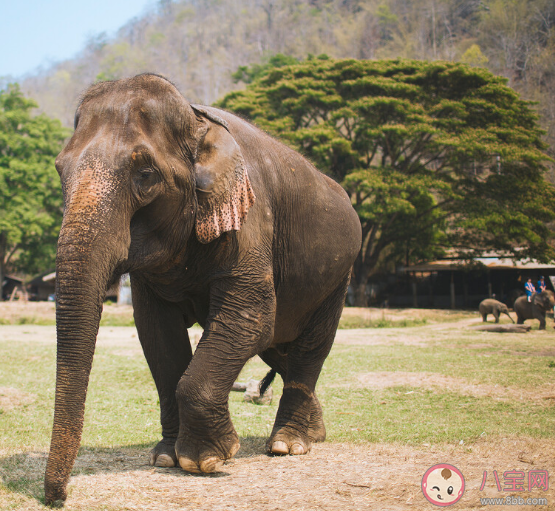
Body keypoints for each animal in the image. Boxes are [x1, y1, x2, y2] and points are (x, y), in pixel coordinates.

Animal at [44, 74, 364, 506]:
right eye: (60, 170)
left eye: (146, 174)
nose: (57, 497)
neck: (196, 121)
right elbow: (157, 334)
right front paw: (166, 457)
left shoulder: (250, 218)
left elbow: (249, 318)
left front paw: (207, 460)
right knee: (280, 351)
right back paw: (315, 433)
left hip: (338, 275)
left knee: (310, 349)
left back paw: (289, 445)